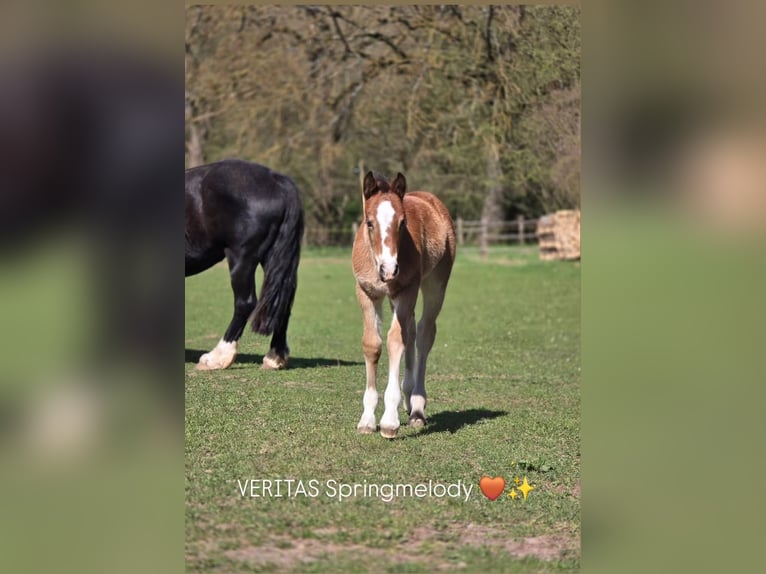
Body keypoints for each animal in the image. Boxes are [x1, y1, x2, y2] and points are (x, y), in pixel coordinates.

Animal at [185, 159, 304, 370]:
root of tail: (276, 180)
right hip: (273, 258)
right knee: (283, 300)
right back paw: (274, 358)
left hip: (241, 259)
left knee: (245, 303)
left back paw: (218, 357)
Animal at [352, 171, 456, 438]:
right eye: (369, 222)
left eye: (402, 223)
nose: (389, 270)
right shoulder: (367, 293)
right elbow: (372, 344)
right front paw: (367, 419)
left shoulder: (407, 290)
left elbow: (395, 340)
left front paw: (389, 421)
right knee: (410, 329)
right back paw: (408, 399)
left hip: (434, 285)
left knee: (424, 333)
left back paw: (417, 407)